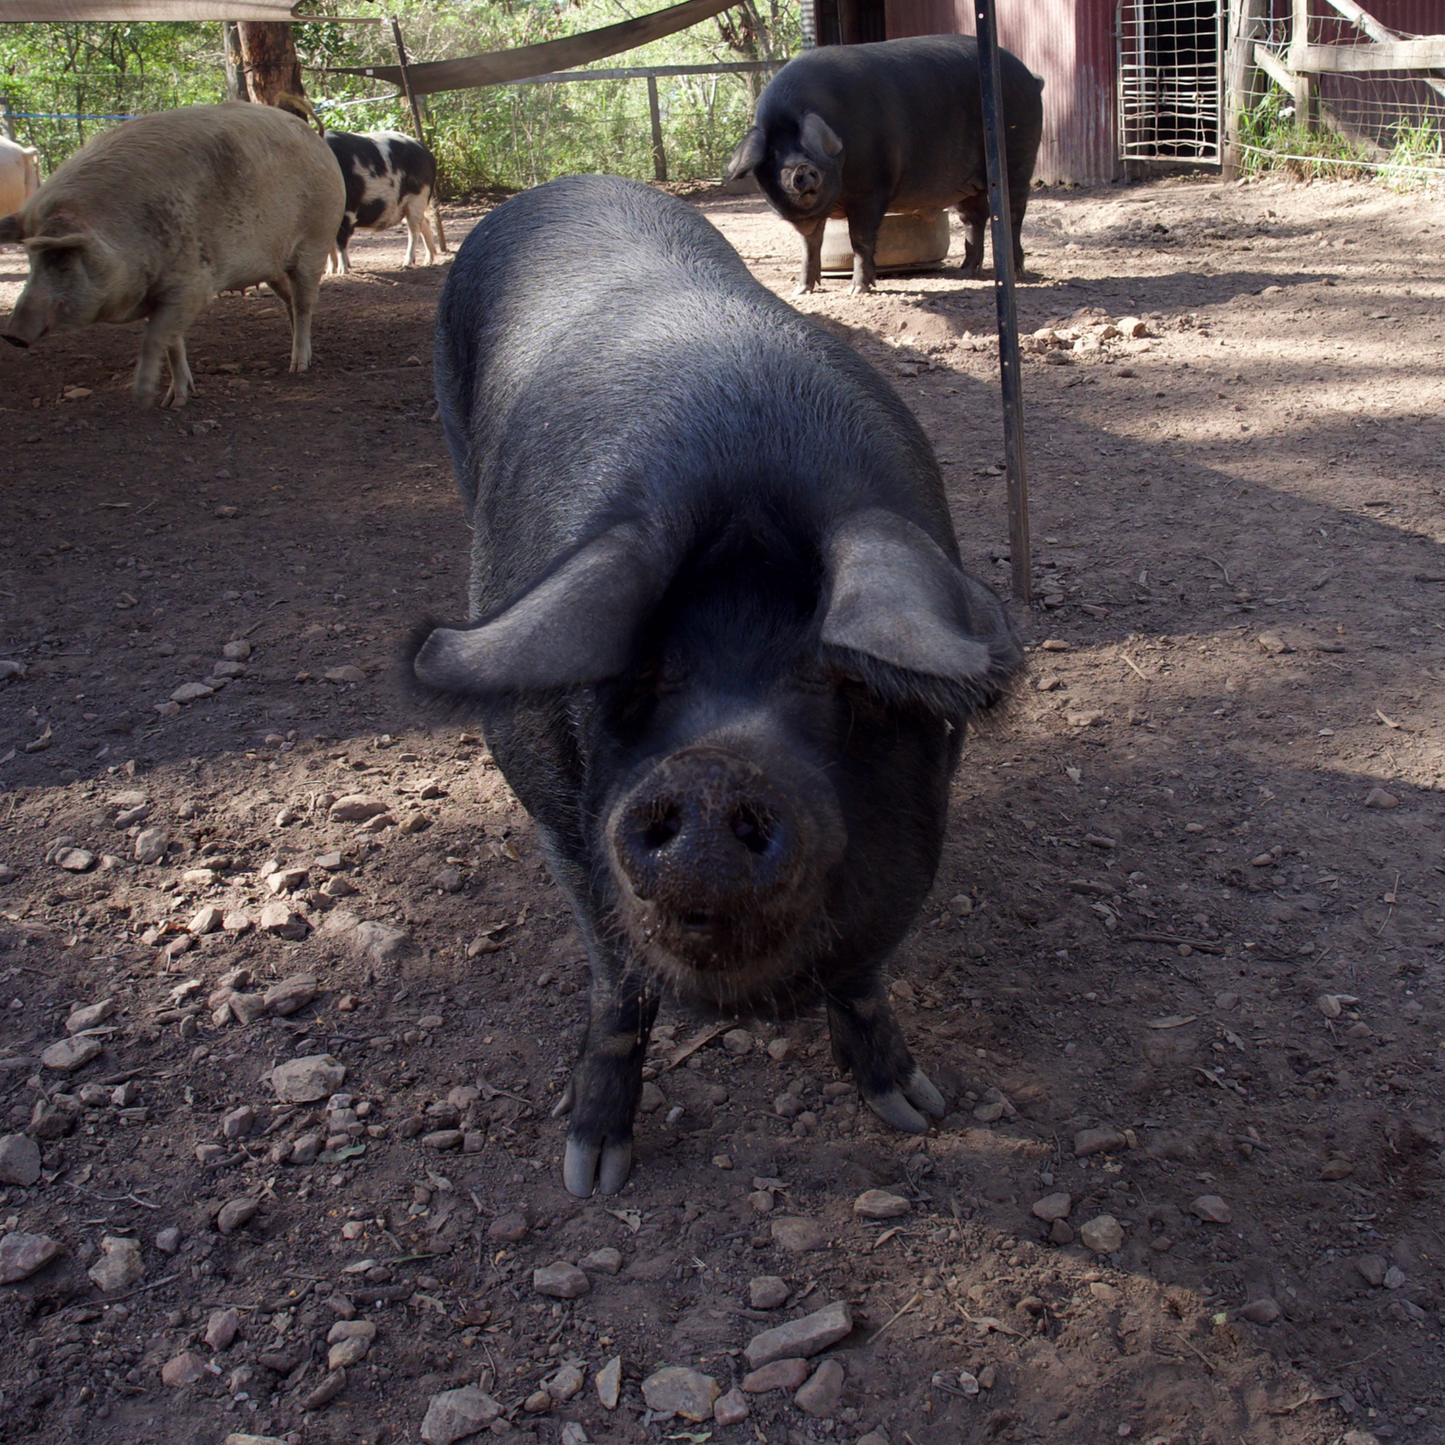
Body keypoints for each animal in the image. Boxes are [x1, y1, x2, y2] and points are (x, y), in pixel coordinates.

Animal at [0, 103, 344, 407]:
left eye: (60, 258)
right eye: (30, 259)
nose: (12, 334)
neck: (127, 232)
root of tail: (315, 138)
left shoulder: (192, 284)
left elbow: (155, 339)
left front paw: (147, 398)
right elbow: (172, 344)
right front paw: (175, 400)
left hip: (316, 239)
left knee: (304, 301)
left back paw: (298, 366)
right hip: (273, 264)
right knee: (289, 299)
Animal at [324, 130, 439, 274]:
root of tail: (426, 150)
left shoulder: (348, 210)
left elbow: (341, 242)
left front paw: (342, 272)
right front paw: (330, 273)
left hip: (418, 197)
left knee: (414, 229)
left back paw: (407, 264)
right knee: (425, 223)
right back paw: (428, 262)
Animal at [413, 174, 1022, 1197]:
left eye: (843, 685)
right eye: (645, 669)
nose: (710, 773)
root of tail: (564, 182)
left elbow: (862, 973)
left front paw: (916, 1109)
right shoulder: (550, 804)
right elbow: (617, 981)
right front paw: (592, 1173)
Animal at [725, 36, 1044, 294]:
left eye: (806, 146)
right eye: (774, 153)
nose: (803, 169)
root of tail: (1030, 77)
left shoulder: (871, 190)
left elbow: (860, 240)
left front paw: (858, 290)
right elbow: (809, 245)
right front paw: (803, 291)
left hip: (1019, 157)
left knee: (1013, 214)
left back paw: (1017, 273)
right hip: (968, 185)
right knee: (974, 219)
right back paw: (965, 272)